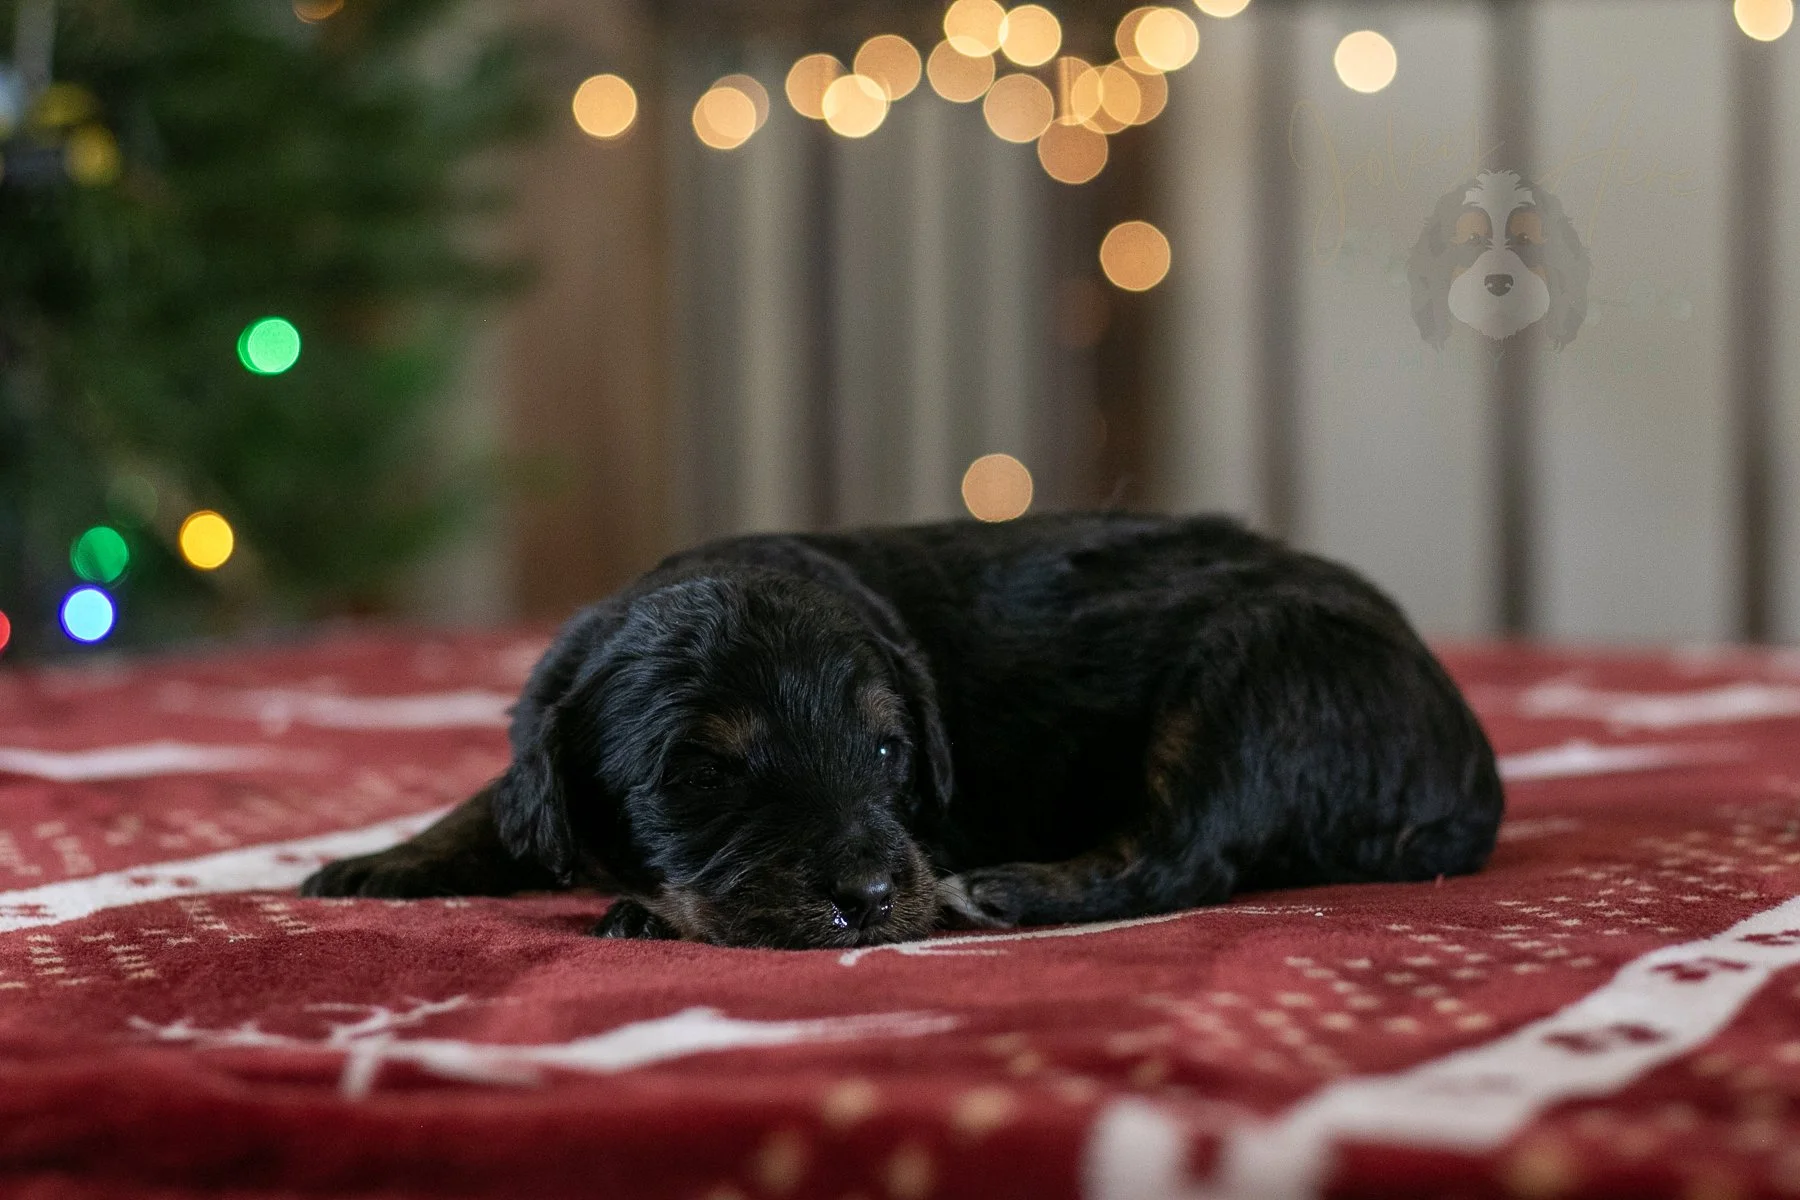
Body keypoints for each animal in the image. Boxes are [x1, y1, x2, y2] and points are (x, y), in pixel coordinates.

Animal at [302, 513, 1504, 949]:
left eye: (887, 751)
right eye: (699, 775)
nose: (874, 899)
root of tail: (1470, 769)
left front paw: (643, 910)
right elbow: (500, 795)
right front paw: (384, 860)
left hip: (1251, 684)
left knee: (1186, 851)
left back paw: (1009, 890)